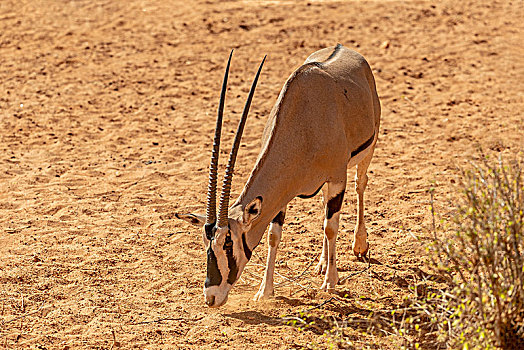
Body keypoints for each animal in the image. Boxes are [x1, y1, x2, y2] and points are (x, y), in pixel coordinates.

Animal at [177, 43, 380, 306]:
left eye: (229, 244)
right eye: (205, 242)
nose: (211, 297)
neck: (302, 125)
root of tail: (344, 48)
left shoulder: (337, 179)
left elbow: (331, 228)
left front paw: (330, 282)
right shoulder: (281, 195)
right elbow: (274, 235)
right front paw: (265, 290)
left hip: (368, 148)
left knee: (360, 185)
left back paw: (359, 245)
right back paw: (322, 262)